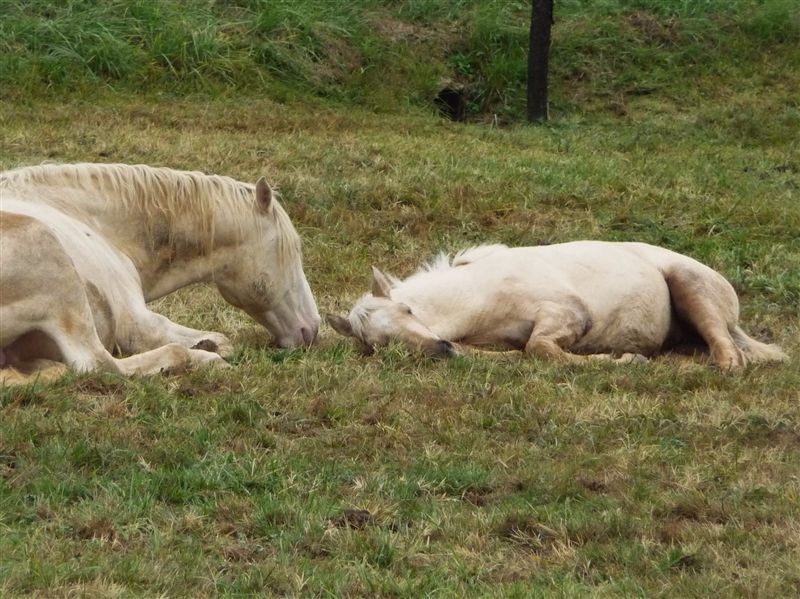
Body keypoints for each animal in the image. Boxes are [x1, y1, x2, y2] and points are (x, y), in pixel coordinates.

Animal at [0, 162, 320, 383]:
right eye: (294, 249)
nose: (312, 328)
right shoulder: (138, 323)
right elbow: (220, 341)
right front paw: (208, 349)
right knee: (100, 365)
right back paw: (201, 359)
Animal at [327, 242, 788, 369]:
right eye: (378, 344)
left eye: (408, 311)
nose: (437, 348)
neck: (481, 295)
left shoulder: (568, 314)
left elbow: (542, 348)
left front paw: (623, 359)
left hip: (692, 288)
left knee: (726, 349)